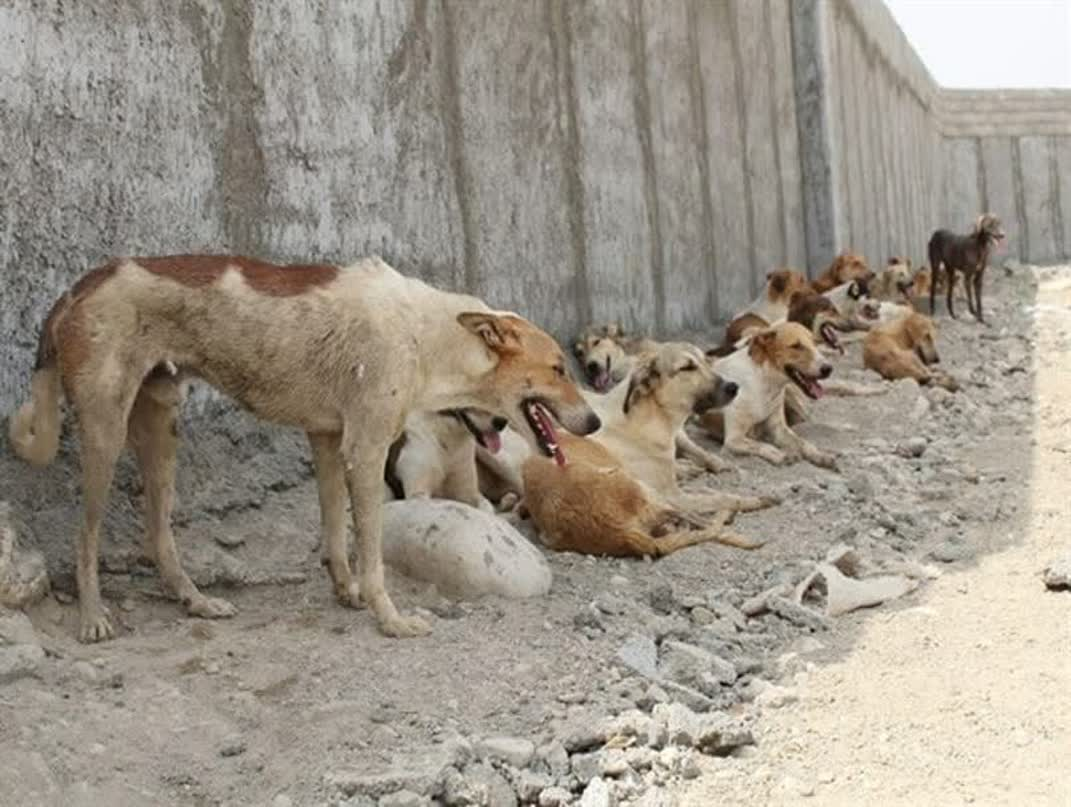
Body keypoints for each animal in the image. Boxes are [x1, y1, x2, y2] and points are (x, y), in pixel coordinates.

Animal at [6, 254, 604, 637]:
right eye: (557, 368)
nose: (596, 420)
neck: (425, 334)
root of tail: (77, 288)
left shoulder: (327, 439)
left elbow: (336, 535)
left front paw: (346, 594)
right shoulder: (364, 449)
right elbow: (371, 554)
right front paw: (390, 620)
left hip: (161, 431)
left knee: (157, 536)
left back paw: (196, 602)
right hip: (104, 436)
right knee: (85, 538)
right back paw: (92, 619)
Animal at [520, 342, 779, 556]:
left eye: (707, 360)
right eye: (687, 367)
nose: (733, 387)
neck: (648, 416)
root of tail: (622, 533)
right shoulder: (673, 495)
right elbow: (724, 497)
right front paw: (752, 499)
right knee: (700, 517)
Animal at [698, 321, 839, 468]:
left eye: (814, 343)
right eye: (796, 346)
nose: (828, 368)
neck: (764, 382)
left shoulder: (779, 429)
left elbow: (803, 443)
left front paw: (820, 455)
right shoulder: (734, 439)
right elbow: (763, 445)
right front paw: (782, 455)